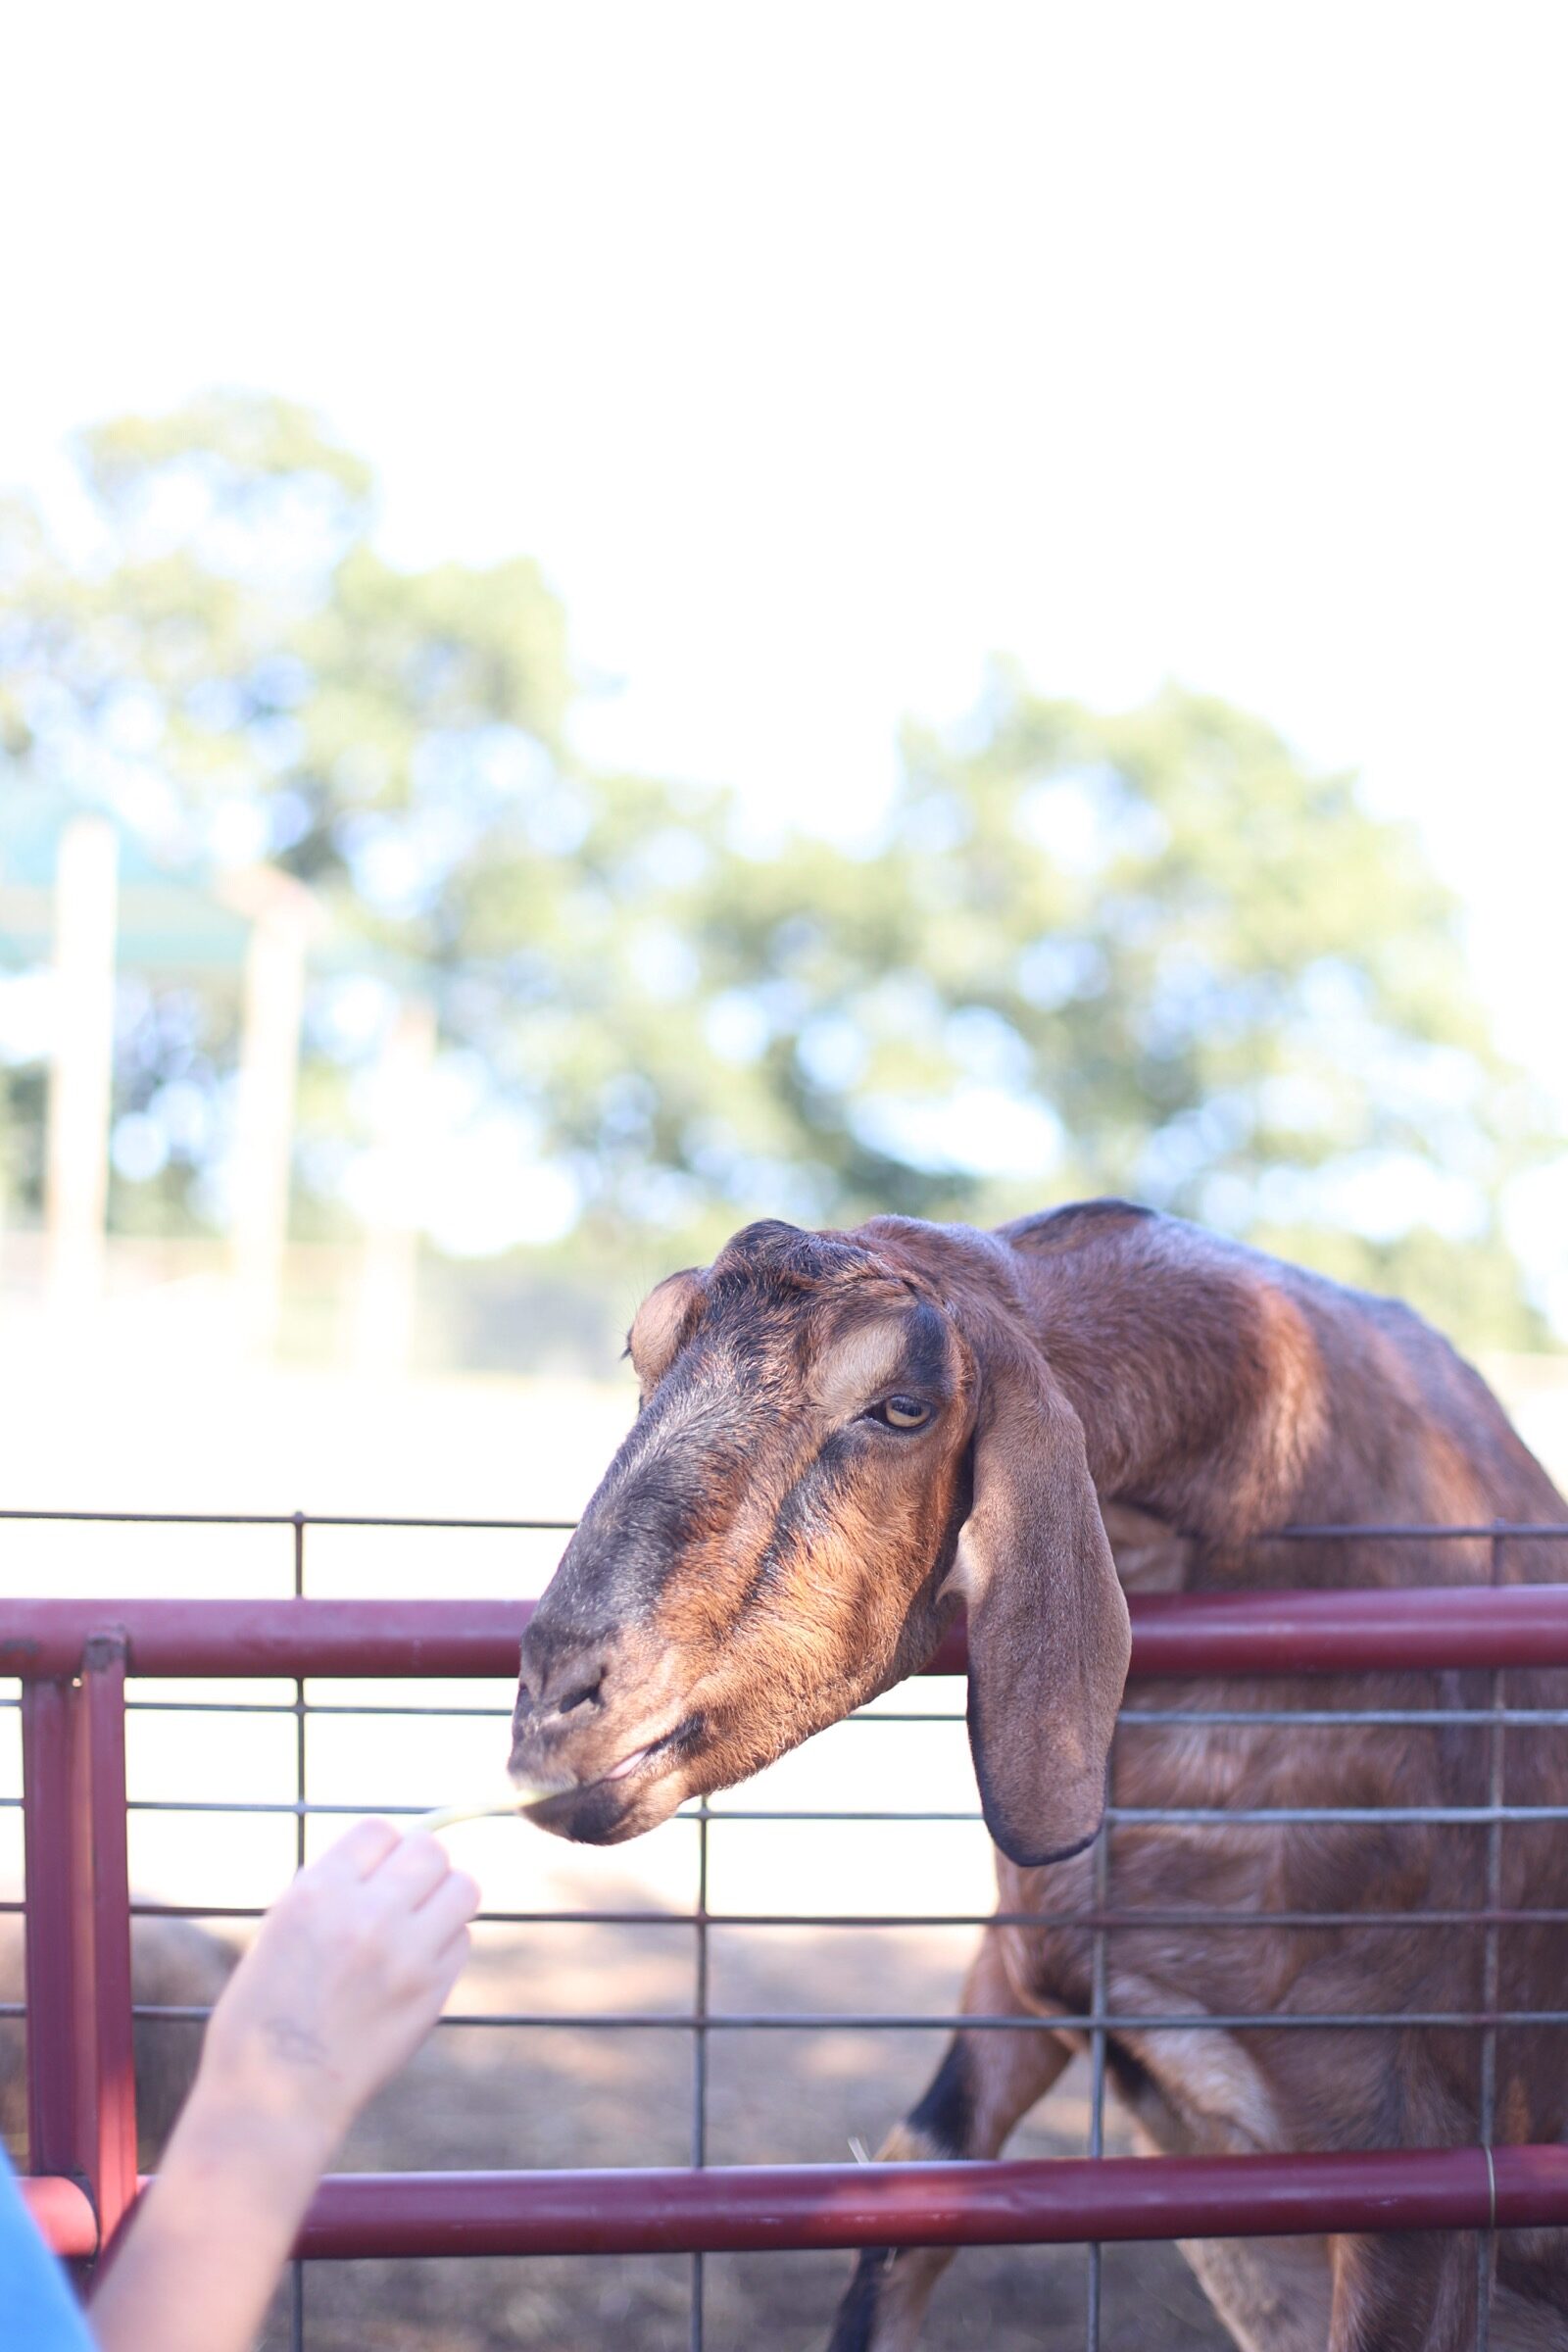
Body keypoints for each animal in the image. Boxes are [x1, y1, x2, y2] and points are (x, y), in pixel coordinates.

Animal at [512, 1213, 1568, 2352]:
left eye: (903, 1407)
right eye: (644, 1350)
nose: (555, 1705)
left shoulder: (1413, 2162)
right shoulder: (1015, 1977)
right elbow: (903, 2209)